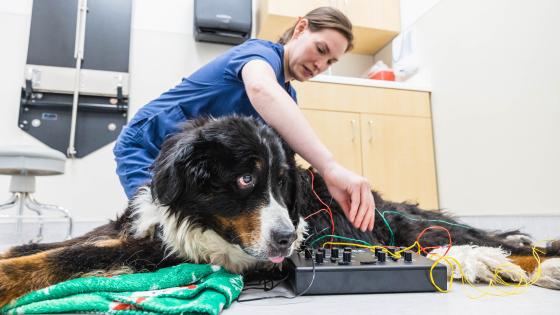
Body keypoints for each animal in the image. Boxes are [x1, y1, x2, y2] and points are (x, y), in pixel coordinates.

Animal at [1, 116, 560, 306]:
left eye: (282, 183)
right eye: (246, 179)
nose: (289, 240)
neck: (198, 217)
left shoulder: (157, 252)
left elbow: (68, 258)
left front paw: (9, 277)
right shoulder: (145, 227)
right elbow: (57, 244)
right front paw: (15, 251)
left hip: (413, 231)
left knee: (495, 243)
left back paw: (540, 262)